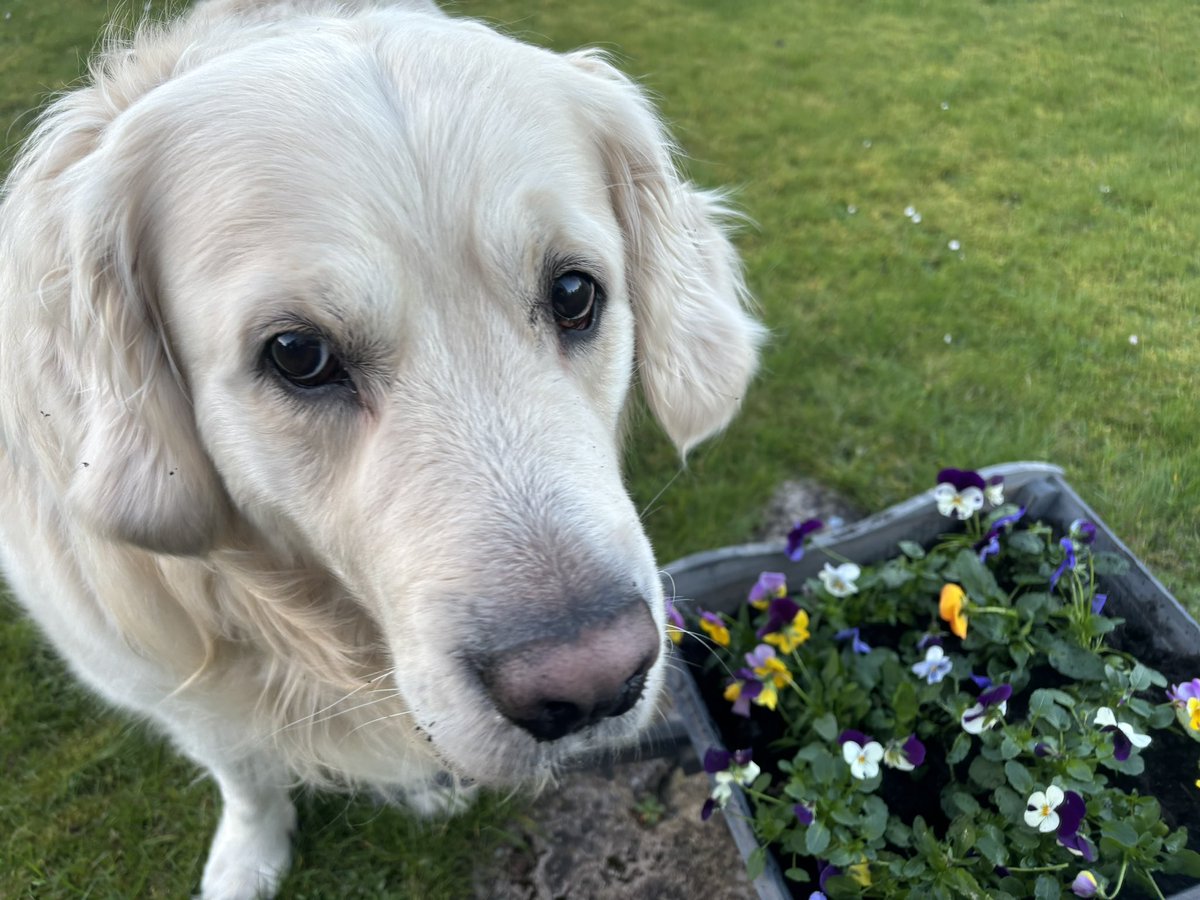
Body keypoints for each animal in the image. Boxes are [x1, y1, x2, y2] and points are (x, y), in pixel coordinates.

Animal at [0, 0, 763, 897]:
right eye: (297, 354)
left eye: (576, 293)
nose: (593, 683)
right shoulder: (162, 683)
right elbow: (244, 772)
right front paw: (249, 855)